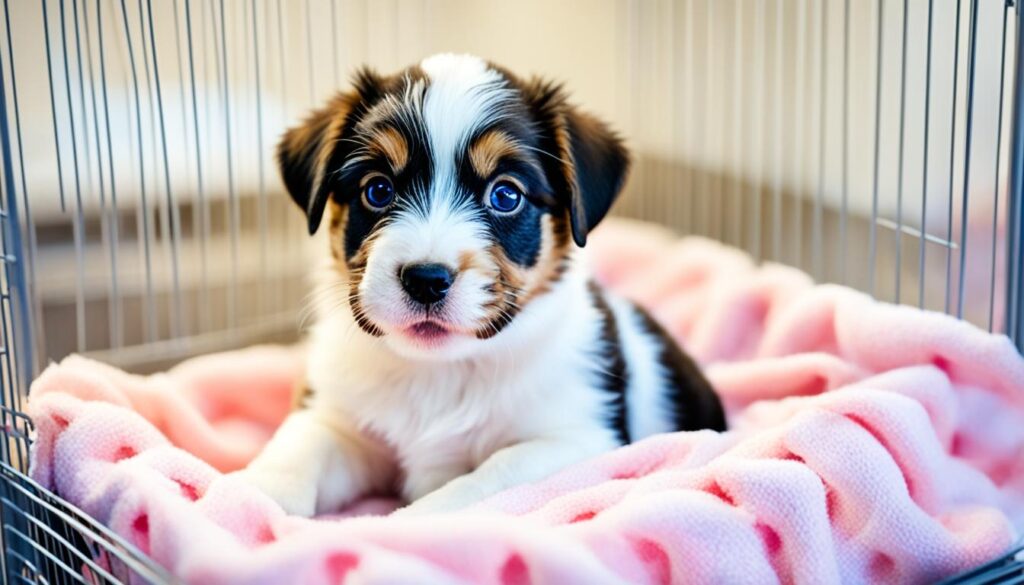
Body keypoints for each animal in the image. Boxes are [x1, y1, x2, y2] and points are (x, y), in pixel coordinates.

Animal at [238, 52, 720, 514]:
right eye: (377, 189)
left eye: (505, 195)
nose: (426, 280)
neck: (442, 371)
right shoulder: (339, 419)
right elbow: (299, 448)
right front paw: (253, 500)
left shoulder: (576, 440)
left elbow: (482, 483)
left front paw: (408, 523)